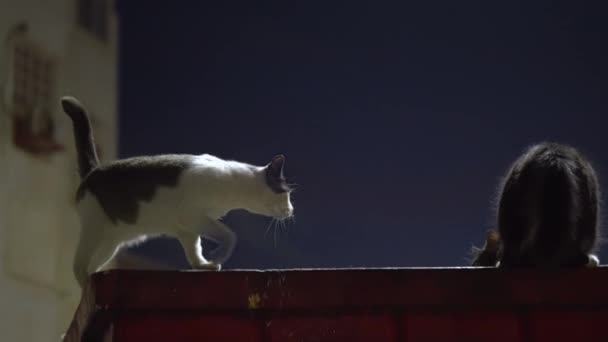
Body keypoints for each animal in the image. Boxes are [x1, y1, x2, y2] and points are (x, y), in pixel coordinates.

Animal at [61, 95, 294, 286]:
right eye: (286, 194)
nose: (292, 210)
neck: (233, 182)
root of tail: (94, 171)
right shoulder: (192, 215)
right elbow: (230, 235)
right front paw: (218, 255)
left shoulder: (188, 228)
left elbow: (195, 251)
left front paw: (203, 265)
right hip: (94, 230)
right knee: (78, 267)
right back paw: (85, 287)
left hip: (111, 243)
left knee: (93, 267)